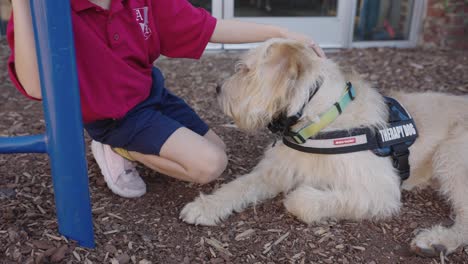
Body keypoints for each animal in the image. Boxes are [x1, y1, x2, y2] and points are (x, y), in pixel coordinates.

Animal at [179, 39, 468, 258]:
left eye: (246, 70)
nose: (217, 88)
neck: (318, 122)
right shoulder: (274, 172)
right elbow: (237, 186)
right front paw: (206, 206)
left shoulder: (381, 192)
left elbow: (300, 200)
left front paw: (301, 195)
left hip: (451, 156)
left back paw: (437, 241)